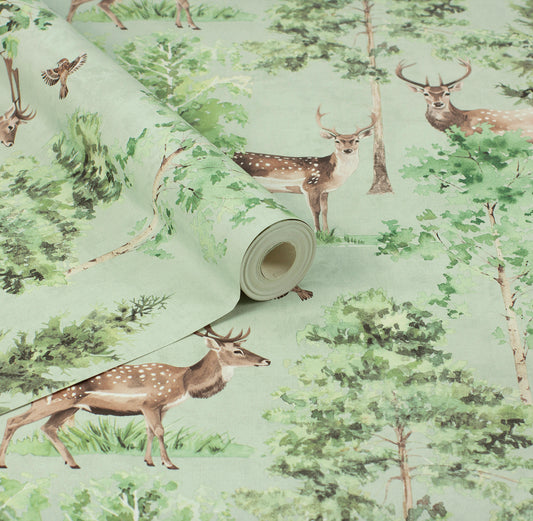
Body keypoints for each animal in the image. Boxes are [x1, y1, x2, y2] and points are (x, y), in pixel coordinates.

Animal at [0, 325, 270, 470]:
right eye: (237, 350)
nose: (266, 360)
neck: (183, 382)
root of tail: (36, 389)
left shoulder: (159, 408)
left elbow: (150, 431)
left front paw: (149, 461)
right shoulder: (151, 402)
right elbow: (160, 431)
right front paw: (169, 464)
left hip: (70, 407)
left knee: (48, 428)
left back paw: (72, 462)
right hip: (58, 401)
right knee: (15, 421)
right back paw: (4, 463)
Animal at [233, 107, 375, 232]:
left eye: (356, 140)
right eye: (337, 141)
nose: (347, 150)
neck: (332, 174)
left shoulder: (324, 191)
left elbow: (325, 211)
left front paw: (327, 233)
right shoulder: (310, 185)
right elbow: (315, 210)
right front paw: (318, 233)